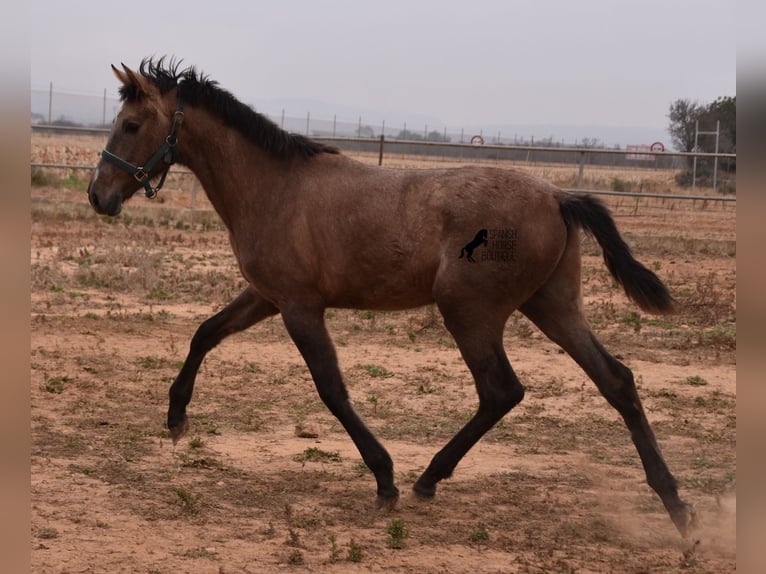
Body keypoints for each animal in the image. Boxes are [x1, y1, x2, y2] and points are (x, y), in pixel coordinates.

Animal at [87, 56, 700, 536]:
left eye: (131, 124)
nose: (98, 196)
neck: (273, 188)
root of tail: (558, 196)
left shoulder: (299, 307)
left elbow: (332, 389)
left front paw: (384, 481)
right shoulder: (266, 296)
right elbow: (205, 332)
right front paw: (176, 418)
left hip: (471, 313)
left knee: (502, 390)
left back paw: (426, 478)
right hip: (552, 305)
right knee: (615, 379)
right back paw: (677, 506)